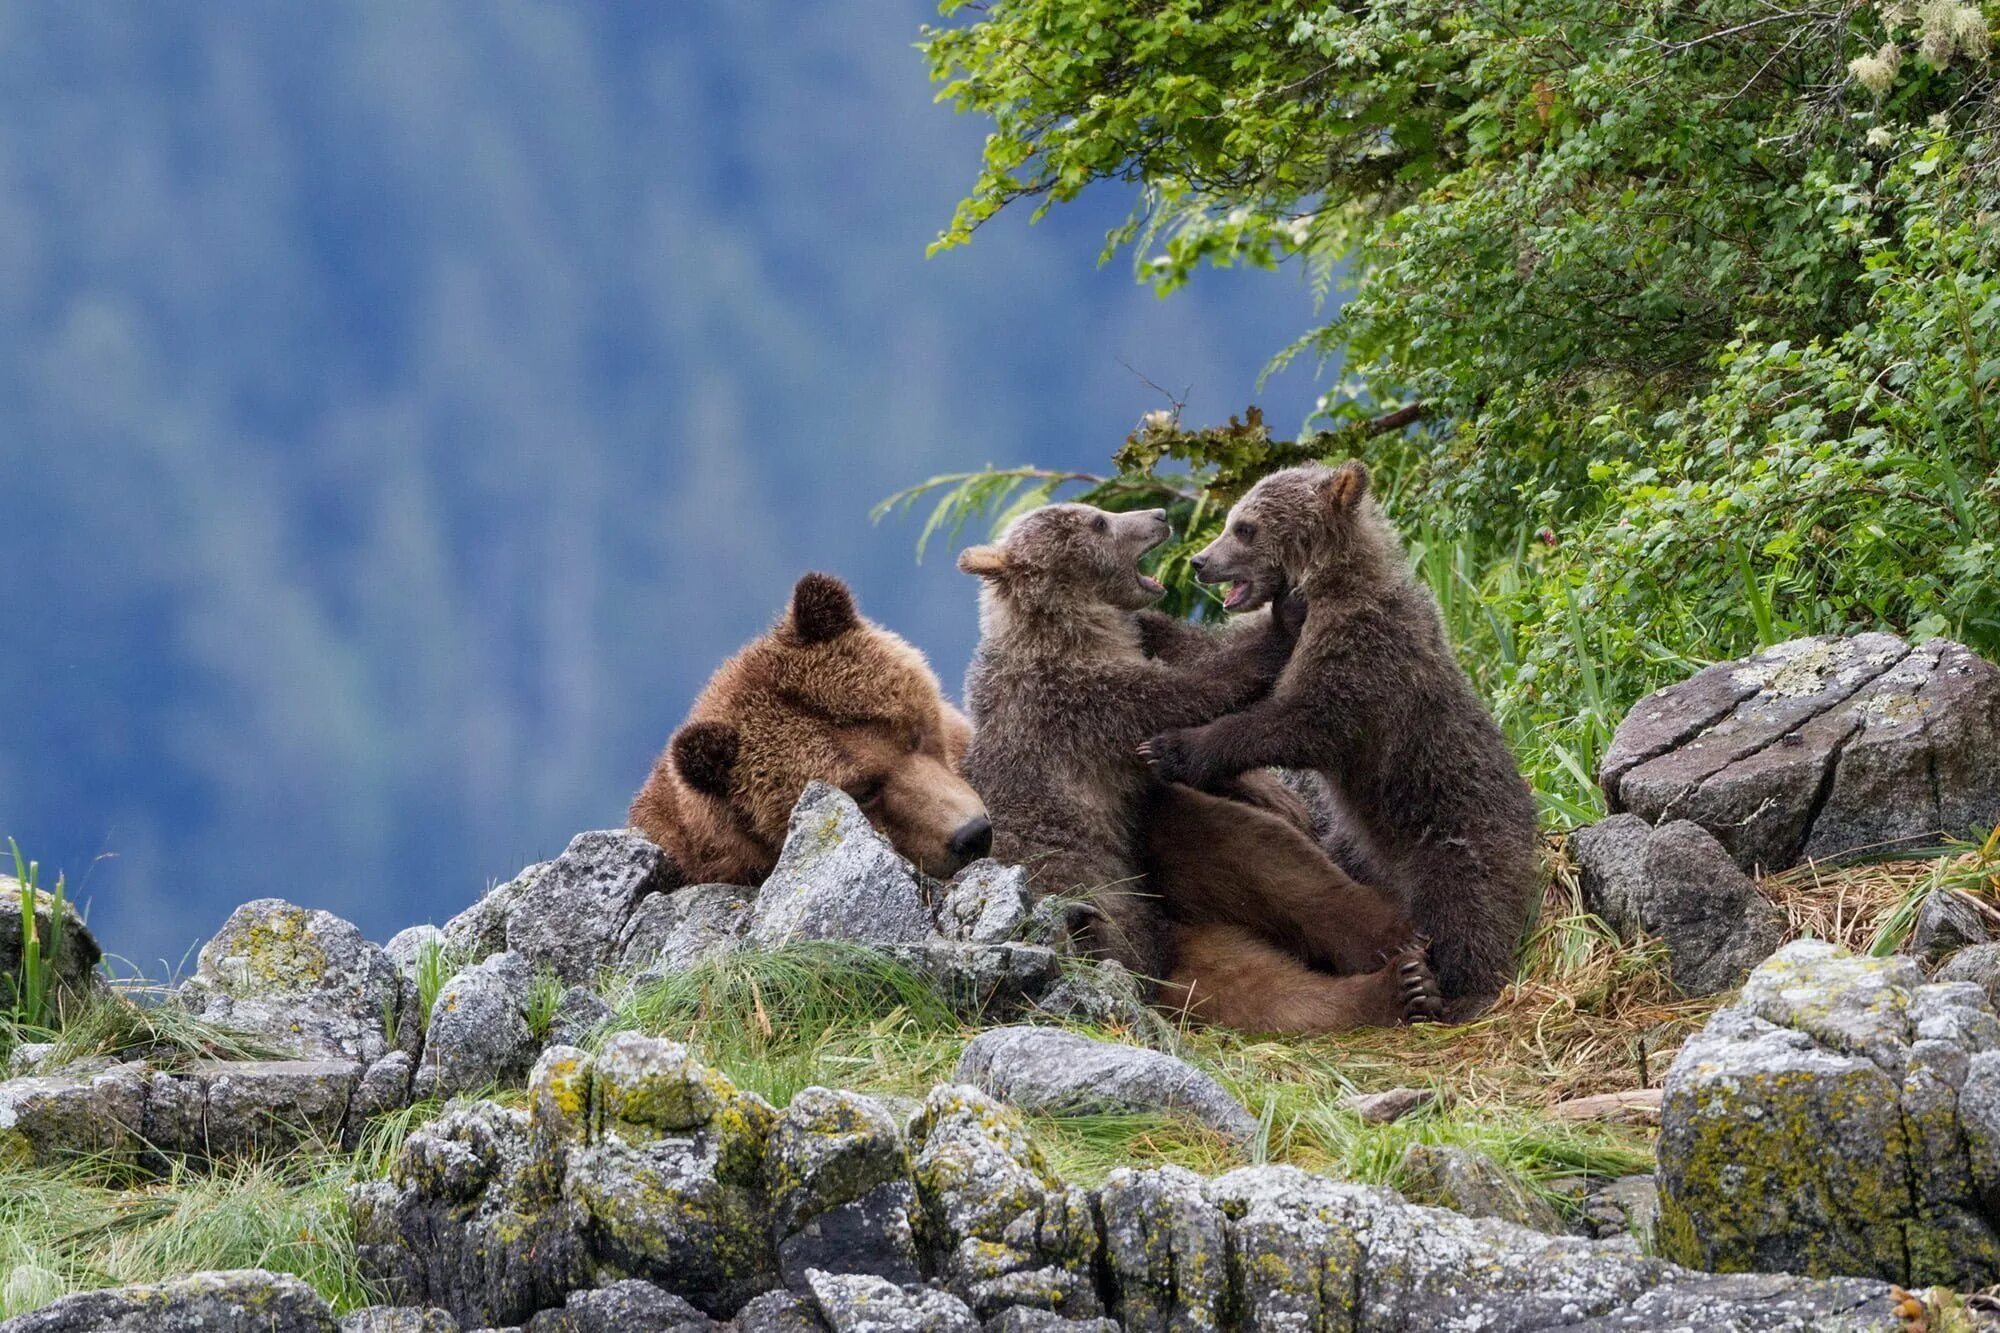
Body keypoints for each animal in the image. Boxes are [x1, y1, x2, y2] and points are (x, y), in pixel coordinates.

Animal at [956, 498, 1440, 1024]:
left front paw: (1274, 792)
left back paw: (1400, 960)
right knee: (1259, 989)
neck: (1070, 631)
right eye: (1099, 521)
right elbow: (1192, 689)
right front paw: (1284, 620)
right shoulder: (1077, 700)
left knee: (1257, 866)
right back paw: (1397, 981)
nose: (1158, 514)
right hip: (1122, 918)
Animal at [1136, 460, 1536, 1016]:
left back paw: (1451, 991)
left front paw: (1171, 748)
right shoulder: (1286, 633)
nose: (1199, 561)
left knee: (1466, 915)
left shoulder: (1361, 652)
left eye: (1245, 528)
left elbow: (1298, 721)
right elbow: (1218, 655)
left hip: (1456, 834)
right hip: (1352, 842)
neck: (1327, 583)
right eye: (1232, 518)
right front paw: (1147, 622)